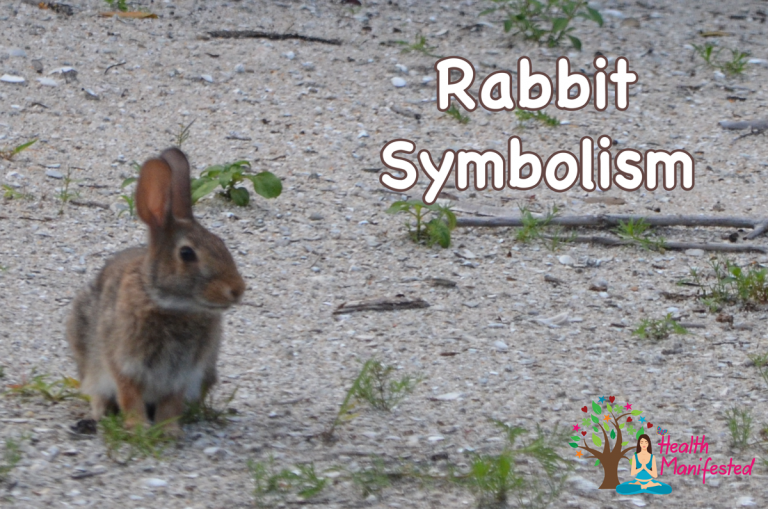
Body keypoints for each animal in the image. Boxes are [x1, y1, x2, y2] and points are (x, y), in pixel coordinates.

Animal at [66, 147, 246, 435]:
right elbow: (129, 394)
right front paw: (138, 427)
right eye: (187, 254)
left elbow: (171, 403)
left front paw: (169, 431)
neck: (164, 301)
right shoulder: (123, 363)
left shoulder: (182, 374)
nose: (237, 290)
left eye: (221, 243)